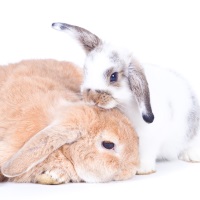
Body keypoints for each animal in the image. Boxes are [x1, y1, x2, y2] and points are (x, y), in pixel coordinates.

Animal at [52, 22, 200, 175]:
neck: (125, 105)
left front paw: (142, 169)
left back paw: (192, 155)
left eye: (113, 76)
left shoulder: (149, 137)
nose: (91, 98)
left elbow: (146, 152)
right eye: (86, 70)